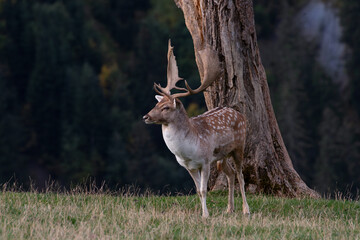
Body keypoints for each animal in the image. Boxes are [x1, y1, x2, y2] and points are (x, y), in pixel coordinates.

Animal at [143, 39, 250, 218]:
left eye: (166, 107)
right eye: (156, 104)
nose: (146, 116)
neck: (186, 151)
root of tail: (240, 114)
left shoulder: (205, 161)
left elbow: (204, 189)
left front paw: (205, 215)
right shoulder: (189, 166)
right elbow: (199, 191)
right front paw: (203, 213)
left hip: (239, 146)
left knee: (240, 175)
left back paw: (245, 209)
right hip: (222, 156)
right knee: (230, 173)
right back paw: (230, 208)